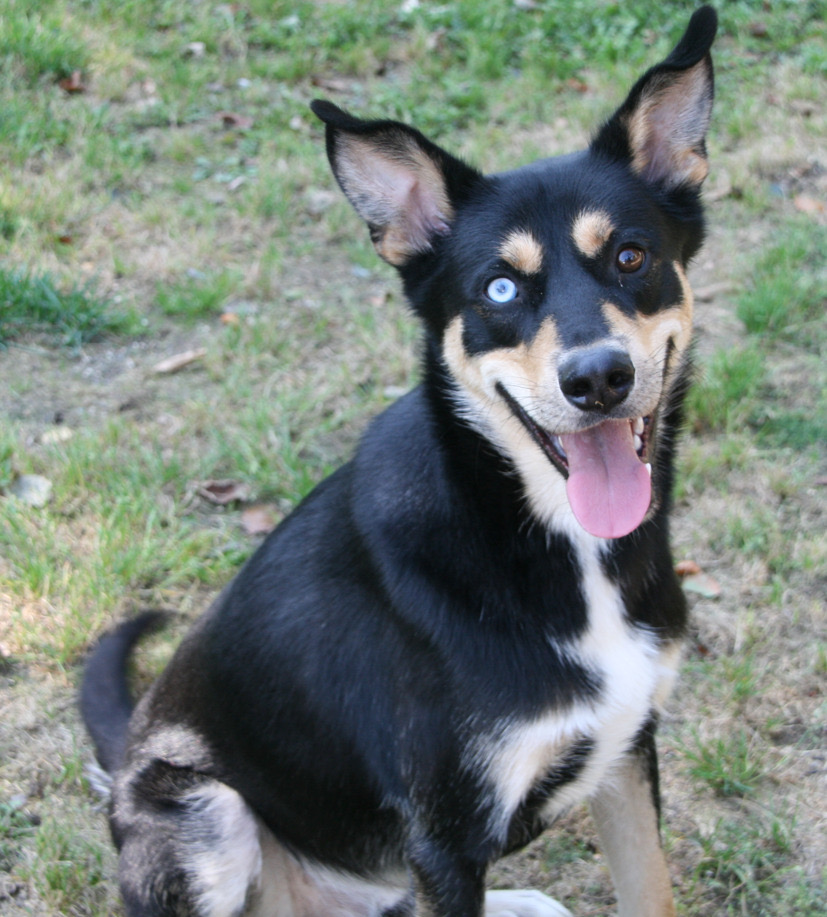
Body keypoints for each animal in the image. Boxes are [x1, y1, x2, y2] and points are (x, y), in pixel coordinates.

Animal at [81, 8, 717, 916]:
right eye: (497, 288)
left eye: (630, 255)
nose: (597, 378)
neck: (542, 536)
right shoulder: (444, 834)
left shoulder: (627, 749)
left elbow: (650, 889)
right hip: (204, 812)